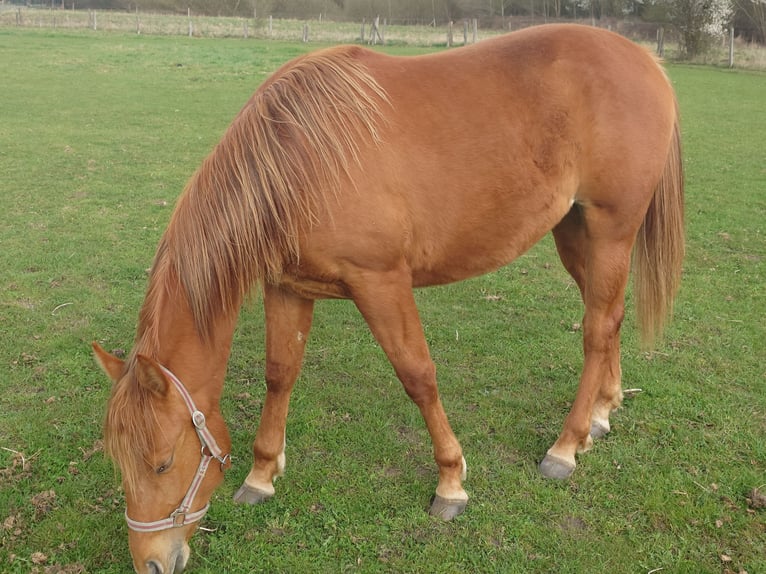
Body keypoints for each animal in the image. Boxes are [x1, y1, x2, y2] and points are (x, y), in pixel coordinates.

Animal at [94, 24, 684, 574]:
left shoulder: (381, 283)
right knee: (608, 317)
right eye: (119, 462)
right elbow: (280, 374)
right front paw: (262, 475)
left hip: (611, 230)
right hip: (574, 231)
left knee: (596, 328)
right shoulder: (287, 287)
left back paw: (565, 446)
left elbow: (417, 376)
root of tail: (641, 59)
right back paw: (602, 412)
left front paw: (451, 482)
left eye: (162, 463)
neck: (302, 160)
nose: (150, 561)